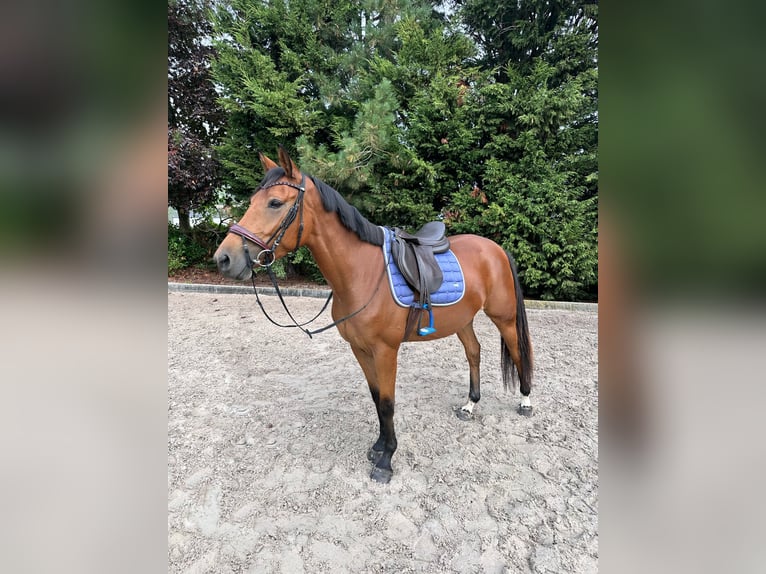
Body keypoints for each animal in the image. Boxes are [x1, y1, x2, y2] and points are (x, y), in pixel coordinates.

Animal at [214, 146, 533, 484]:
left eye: (275, 203)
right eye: (251, 201)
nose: (224, 258)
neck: (362, 273)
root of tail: (496, 248)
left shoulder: (385, 351)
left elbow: (388, 403)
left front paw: (386, 461)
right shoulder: (360, 349)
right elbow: (376, 398)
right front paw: (379, 446)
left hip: (504, 317)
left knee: (518, 351)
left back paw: (526, 400)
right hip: (463, 320)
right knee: (474, 352)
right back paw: (470, 405)